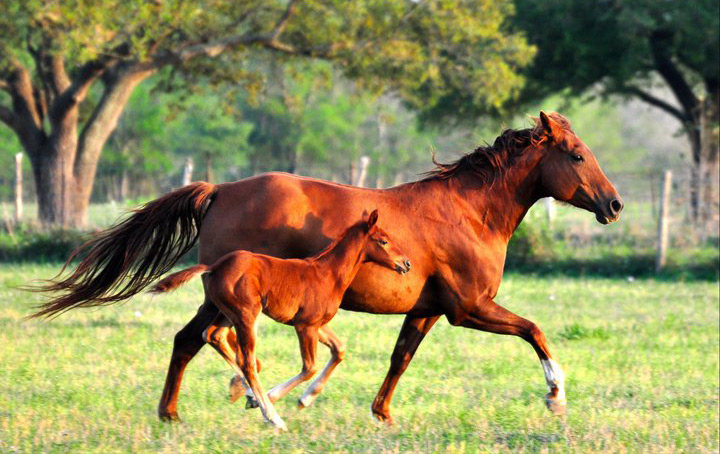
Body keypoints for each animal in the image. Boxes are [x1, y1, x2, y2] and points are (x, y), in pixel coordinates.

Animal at [149, 210, 410, 430]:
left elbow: (339, 348)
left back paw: (248, 393)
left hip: (226, 313)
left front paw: (295, 399)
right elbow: (309, 367)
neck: (328, 273)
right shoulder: (305, 325)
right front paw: (274, 401)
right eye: (383, 241)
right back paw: (272, 416)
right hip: (246, 314)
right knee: (246, 360)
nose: (406, 263)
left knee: (213, 335)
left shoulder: (316, 324)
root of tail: (215, 265)